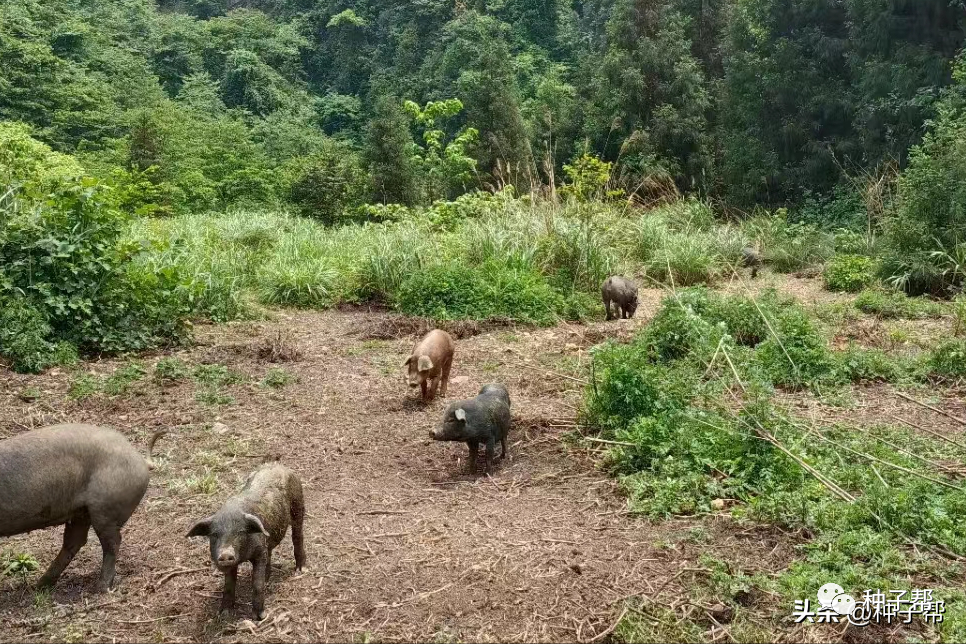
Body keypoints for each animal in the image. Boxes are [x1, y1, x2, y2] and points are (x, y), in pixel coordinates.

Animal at [186, 462, 304, 620]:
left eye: (241, 532)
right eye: (214, 534)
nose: (225, 554)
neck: (244, 556)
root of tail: (280, 466)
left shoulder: (259, 552)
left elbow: (257, 584)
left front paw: (259, 617)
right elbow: (229, 585)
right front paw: (224, 614)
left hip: (298, 504)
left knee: (297, 536)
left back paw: (300, 570)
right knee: (270, 552)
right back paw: (268, 579)